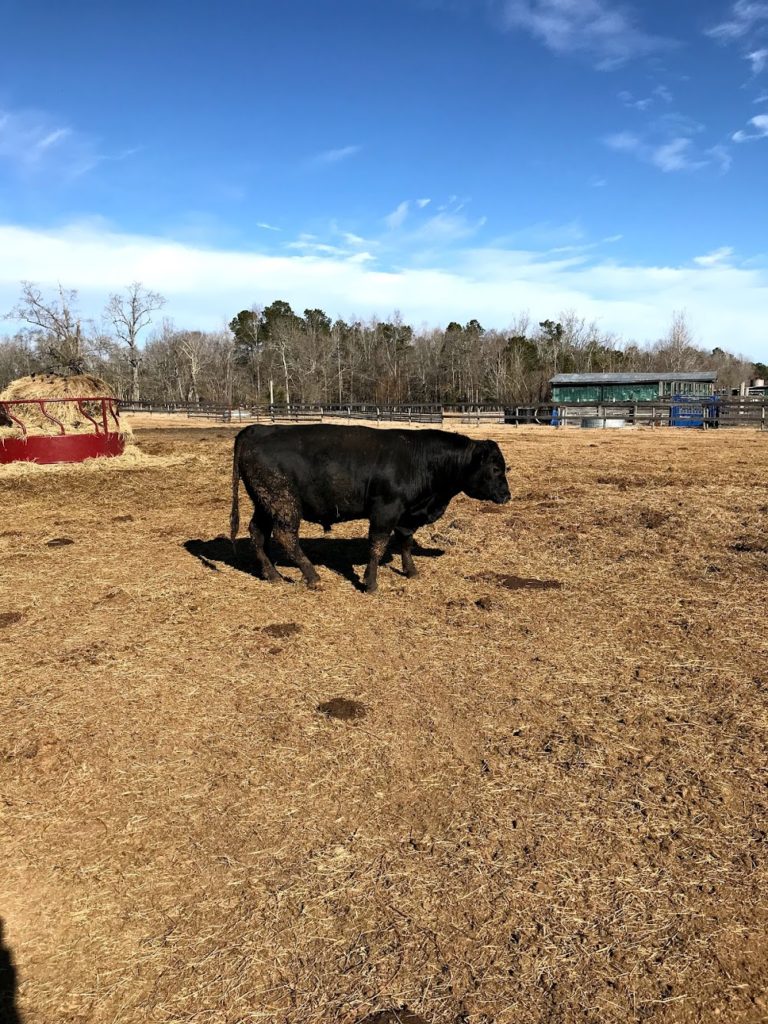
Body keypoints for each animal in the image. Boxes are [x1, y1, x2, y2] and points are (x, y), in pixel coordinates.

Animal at [230, 419, 512, 589]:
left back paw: (273, 575)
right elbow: (377, 545)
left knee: (257, 532)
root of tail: (256, 429)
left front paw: (411, 570)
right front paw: (371, 582)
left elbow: (405, 542)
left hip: (265, 503)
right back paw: (312, 575)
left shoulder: (407, 516)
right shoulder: (385, 511)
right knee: (285, 536)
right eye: (496, 469)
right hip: (283, 503)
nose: (507, 495)